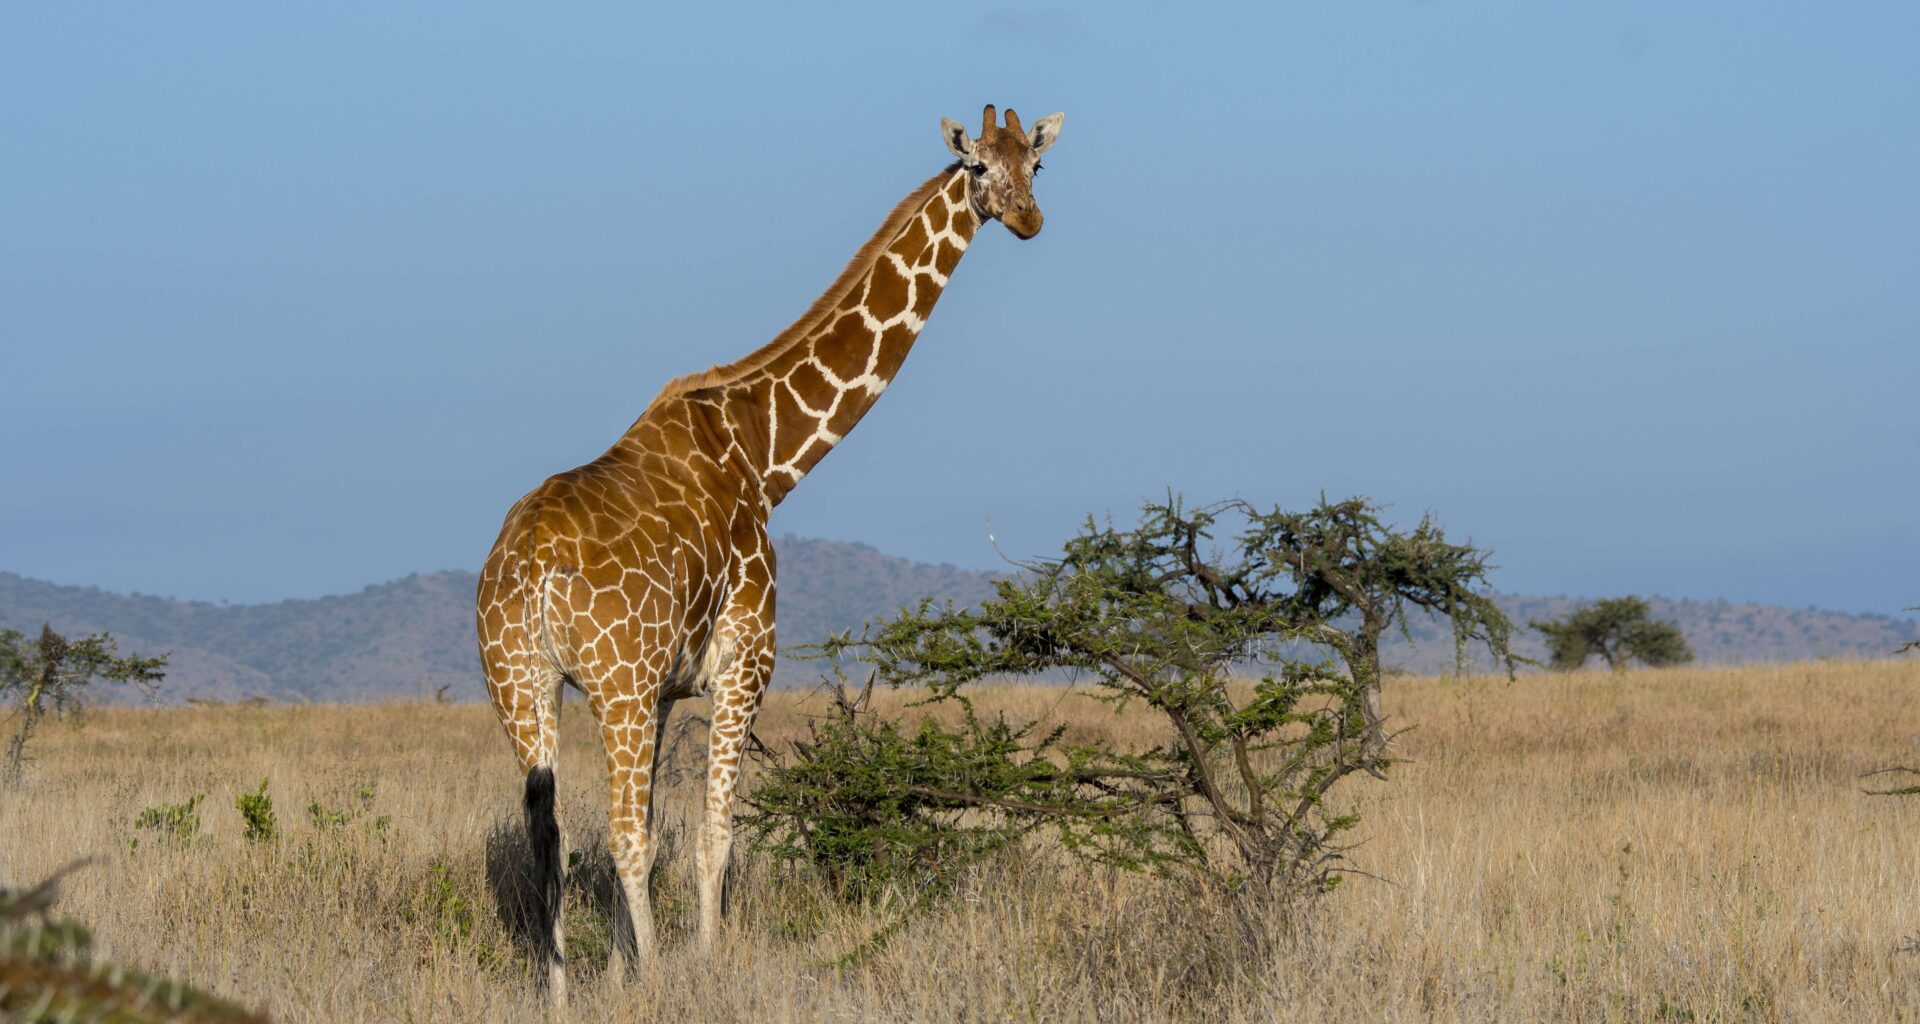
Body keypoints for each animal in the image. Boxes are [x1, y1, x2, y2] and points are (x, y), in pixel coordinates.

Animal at [475, 104, 1063, 1003]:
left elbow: (658, 824)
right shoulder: (743, 660)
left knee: (554, 838)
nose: (1029, 219)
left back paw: (559, 993)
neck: (765, 453)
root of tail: (531, 567)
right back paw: (649, 976)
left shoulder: (666, 688)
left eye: (1036, 163)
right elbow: (713, 834)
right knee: (617, 835)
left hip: (524, 682)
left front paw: (625, 971)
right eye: (977, 169)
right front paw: (694, 968)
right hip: (610, 685)